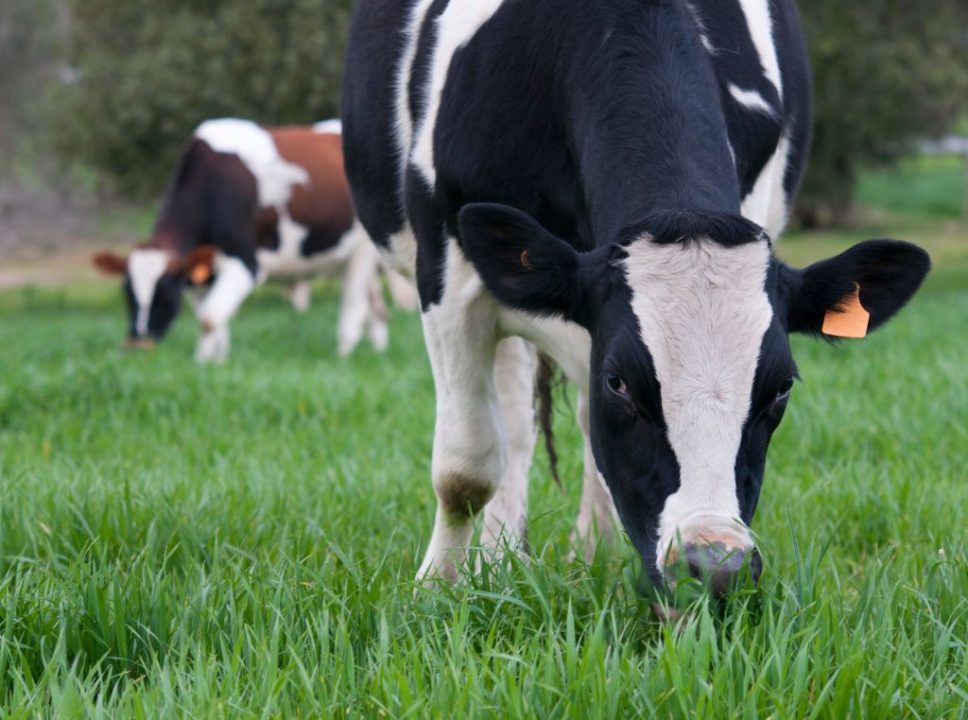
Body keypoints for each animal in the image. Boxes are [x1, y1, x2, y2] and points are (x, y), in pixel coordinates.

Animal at [94, 121, 416, 366]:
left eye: (164, 295)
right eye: (127, 294)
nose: (138, 344)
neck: (209, 184)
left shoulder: (245, 261)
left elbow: (209, 317)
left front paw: (204, 361)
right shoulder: (199, 273)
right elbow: (212, 316)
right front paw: (213, 361)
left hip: (362, 254)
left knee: (354, 307)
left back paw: (343, 356)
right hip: (343, 257)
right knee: (376, 308)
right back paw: (377, 351)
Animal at [340, 0, 932, 596]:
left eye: (782, 386)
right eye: (619, 382)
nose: (714, 566)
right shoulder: (448, 266)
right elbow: (465, 469)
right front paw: (438, 586)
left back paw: (588, 550)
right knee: (514, 420)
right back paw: (498, 558)